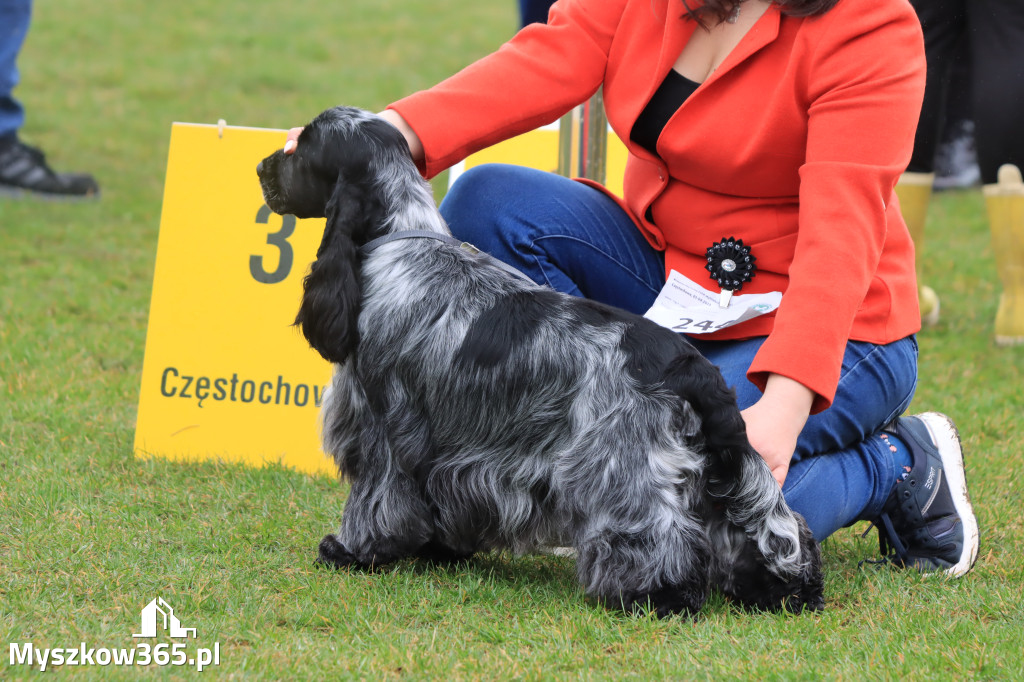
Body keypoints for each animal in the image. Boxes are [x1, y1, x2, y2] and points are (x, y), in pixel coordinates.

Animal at [256, 106, 823, 614]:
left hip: (620, 463)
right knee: (766, 525)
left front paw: (350, 551)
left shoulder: (381, 424)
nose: (262, 166)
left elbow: (376, 498)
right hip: (717, 464)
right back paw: (781, 590)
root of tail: (691, 366)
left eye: (302, 148)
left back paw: (658, 594)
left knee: (656, 531)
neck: (398, 234)